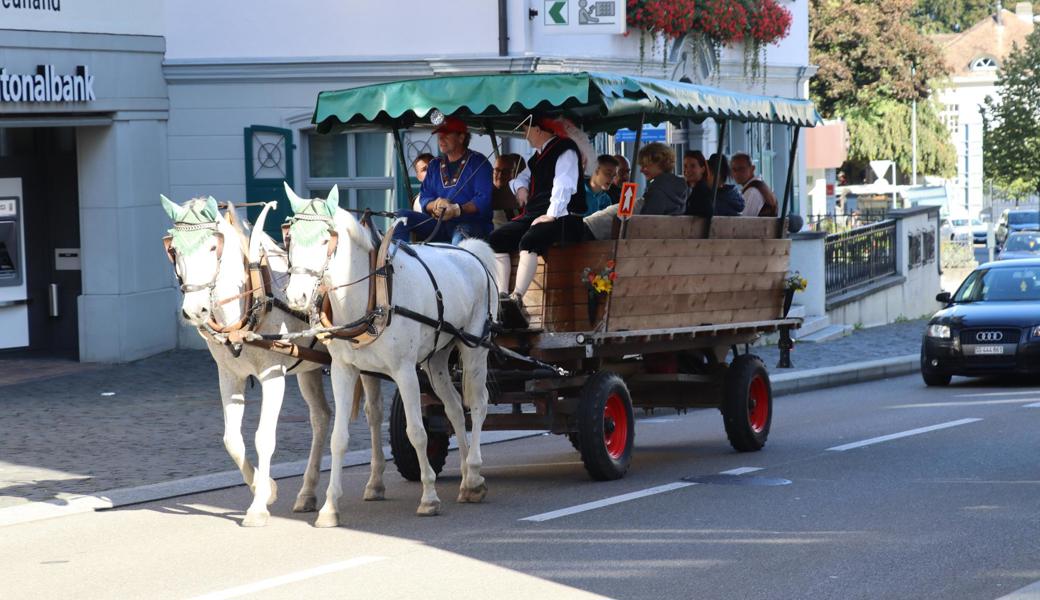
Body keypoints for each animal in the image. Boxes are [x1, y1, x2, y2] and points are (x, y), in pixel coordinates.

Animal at [157, 195, 378, 524]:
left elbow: (264, 437)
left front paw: (259, 505)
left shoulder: (273, 375)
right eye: (175, 249)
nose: (195, 311)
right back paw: (307, 492)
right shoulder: (229, 375)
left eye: (212, 247)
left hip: (367, 364)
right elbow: (231, 440)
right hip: (308, 368)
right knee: (321, 417)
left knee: (374, 414)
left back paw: (375, 483)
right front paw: (267, 488)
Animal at [272, 184, 499, 524]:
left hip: (474, 348)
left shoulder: (404, 371)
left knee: (479, 404)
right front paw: (329, 507)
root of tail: (472, 252)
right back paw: (467, 479)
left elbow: (417, 432)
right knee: (455, 409)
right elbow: (338, 438)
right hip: (436, 360)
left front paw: (429, 497)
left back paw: (473, 472)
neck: (371, 294)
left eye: (326, 239)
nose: (297, 296)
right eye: (290, 238)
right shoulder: (344, 370)